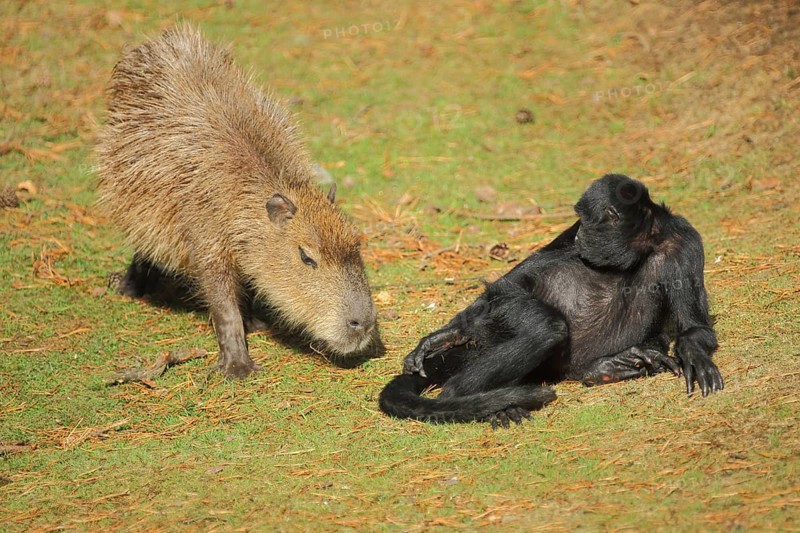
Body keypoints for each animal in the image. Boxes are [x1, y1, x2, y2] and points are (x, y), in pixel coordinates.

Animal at [379, 174, 723, 427]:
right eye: (579, 222)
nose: (580, 234)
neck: (640, 245)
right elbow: (512, 283)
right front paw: (449, 334)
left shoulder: (685, 239)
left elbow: (694, 326)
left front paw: (694, 353)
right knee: (545, 324)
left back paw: (605, 367)